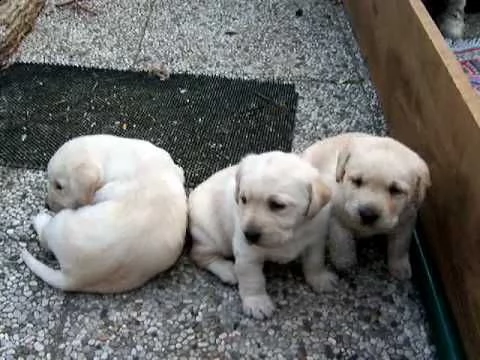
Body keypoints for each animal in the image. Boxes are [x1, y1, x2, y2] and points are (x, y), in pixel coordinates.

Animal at [22, 134, 188, 294]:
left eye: (59, 186)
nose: (46, 205)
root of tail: (75, 279)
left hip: (59, 222)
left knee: (44, 238)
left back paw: (40, 219)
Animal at [189, 150, 336, 320]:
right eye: (243, 199)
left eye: (277, 205)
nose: (249, 235)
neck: (290, 233)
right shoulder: (247, 252)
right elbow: (253, 279)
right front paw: (256, 302)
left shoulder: (316, 239)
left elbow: (315, 261)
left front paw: (319, 278)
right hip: (211, 235)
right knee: (200, 255)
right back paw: (228, 270)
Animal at [304, 134, 432, 280]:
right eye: (357, 181)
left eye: (396, 190)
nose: (367, 214)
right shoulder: (335, 215)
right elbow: (342, 240)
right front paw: (345, 262)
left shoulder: (407, 220)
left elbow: (400, 245)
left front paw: (400, 267)